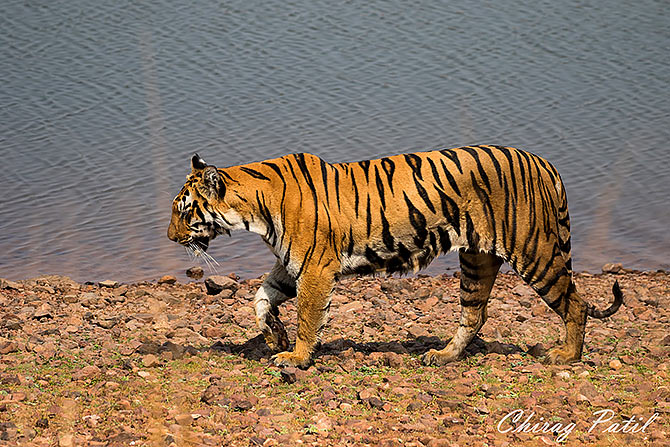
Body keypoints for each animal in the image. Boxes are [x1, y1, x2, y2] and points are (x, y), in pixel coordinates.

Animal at [167, 145, 624, 370]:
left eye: (184, 211)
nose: (170, 237)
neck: (254, 208)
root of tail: (545, 162)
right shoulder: (290, 264)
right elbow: (261, 298)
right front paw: (273, 336)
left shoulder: (314, 268)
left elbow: (308, 317)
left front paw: (295, 356)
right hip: (476, 260)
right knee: (474, 314)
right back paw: (442, 357)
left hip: (535, 252)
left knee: (575, 303)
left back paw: (566, 356)